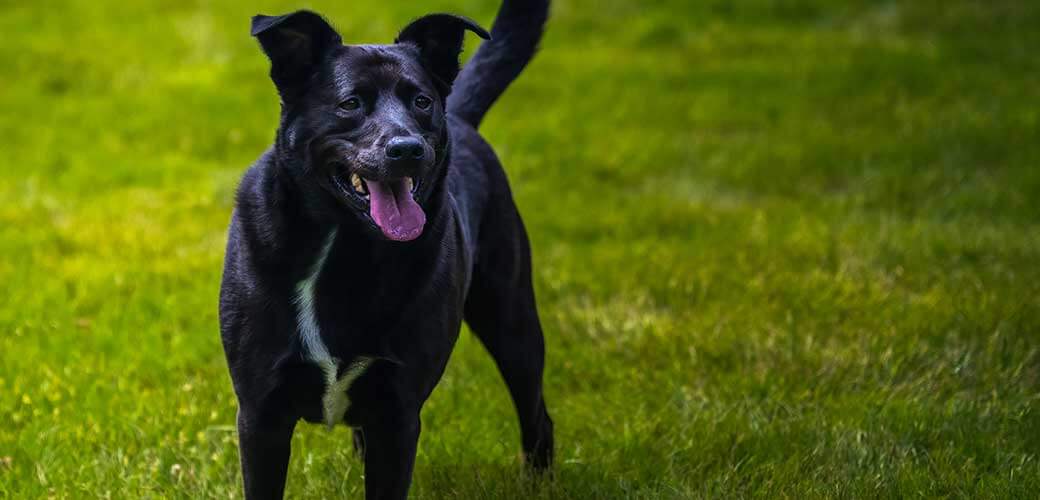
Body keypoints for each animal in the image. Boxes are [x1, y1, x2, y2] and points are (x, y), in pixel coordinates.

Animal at [217, 1, 553, 496]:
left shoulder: (397, 415)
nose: (407, 148)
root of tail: (461, 119)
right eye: (350, 103)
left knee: (536, 413)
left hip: (511, 318)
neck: (345, 247)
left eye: (422, 101)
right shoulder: (261, 415)